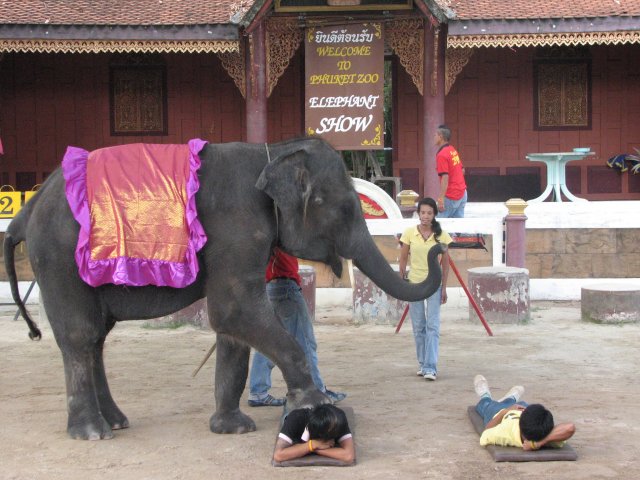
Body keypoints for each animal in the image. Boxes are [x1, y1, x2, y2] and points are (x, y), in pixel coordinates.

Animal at [3, 137, 444, 440]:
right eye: (346, 208)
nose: (437, 243)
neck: (273, 151)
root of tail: (28, 208)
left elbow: (232, 329)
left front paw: (233, 428)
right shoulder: (237, 231)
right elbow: (235, 311)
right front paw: (311, 405)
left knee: (96, 337)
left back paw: (116, 422)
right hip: (59, 258)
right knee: (81, 335)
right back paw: (94, 433)